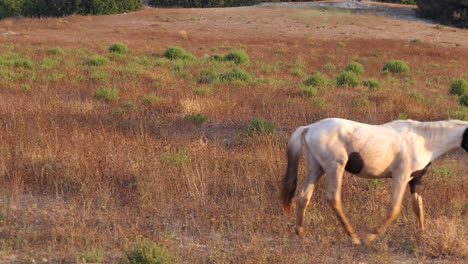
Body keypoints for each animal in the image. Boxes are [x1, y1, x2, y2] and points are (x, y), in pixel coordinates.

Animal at [282, 118, 468, 244]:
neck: (424, 140)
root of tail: (309, 127)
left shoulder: (416, 181)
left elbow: (418, 207)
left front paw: (421, 235)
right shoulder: (401, 177)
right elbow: (394, 209)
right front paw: (370, 237)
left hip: (316, 168)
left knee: (303, 196)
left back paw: (300, 234)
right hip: (335, 167)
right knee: (333, 199)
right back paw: (354, 237)